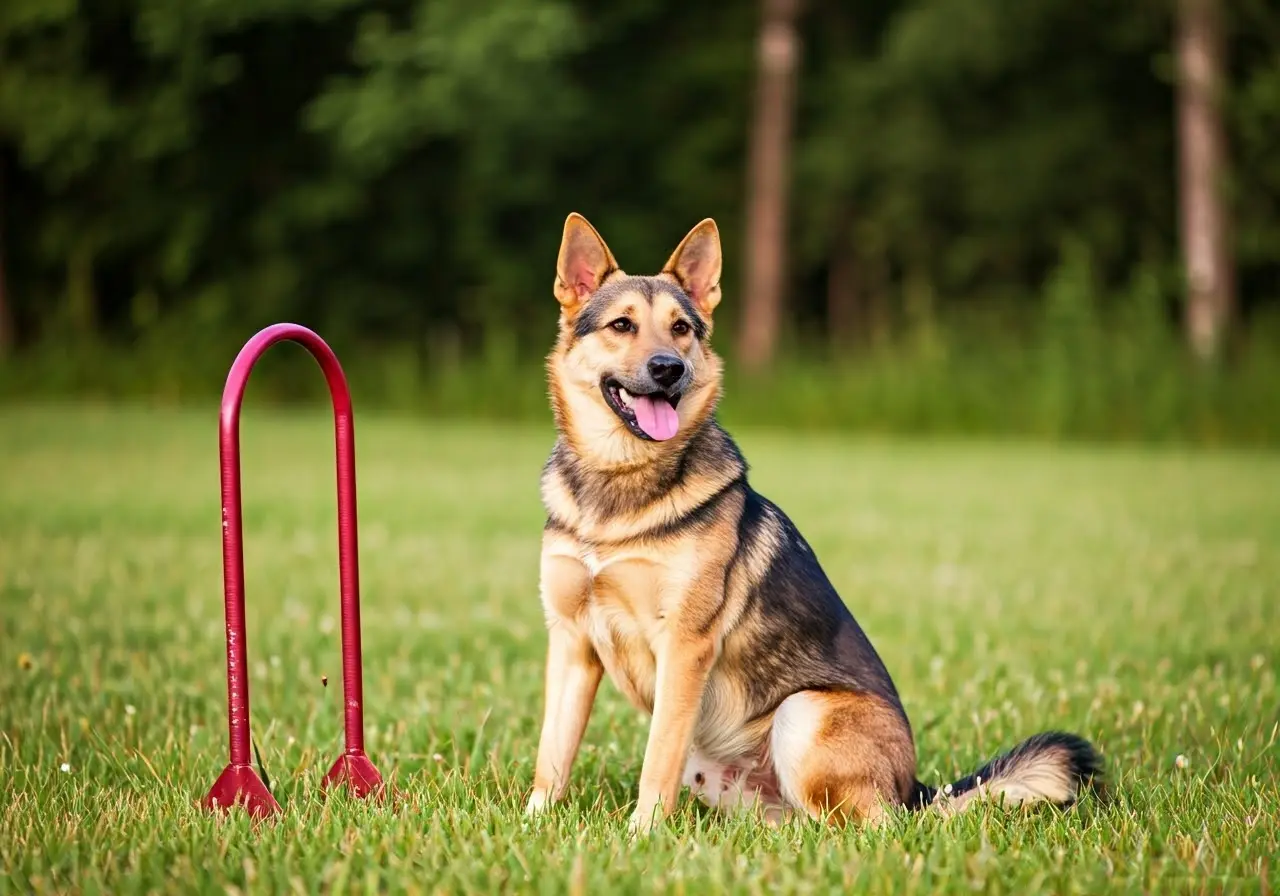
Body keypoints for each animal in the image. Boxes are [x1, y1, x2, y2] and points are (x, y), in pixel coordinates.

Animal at [524, 213, 1105, 834]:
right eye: (622, 325)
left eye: (681, 329)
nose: (669, 369)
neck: (618, 482)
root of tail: (914, 789)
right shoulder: (571, 643)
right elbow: (552, 752)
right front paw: (535, 821)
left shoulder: (683, 647)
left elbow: (656, 759)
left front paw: (643, 834)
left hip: (802, 713)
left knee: (876, 826)